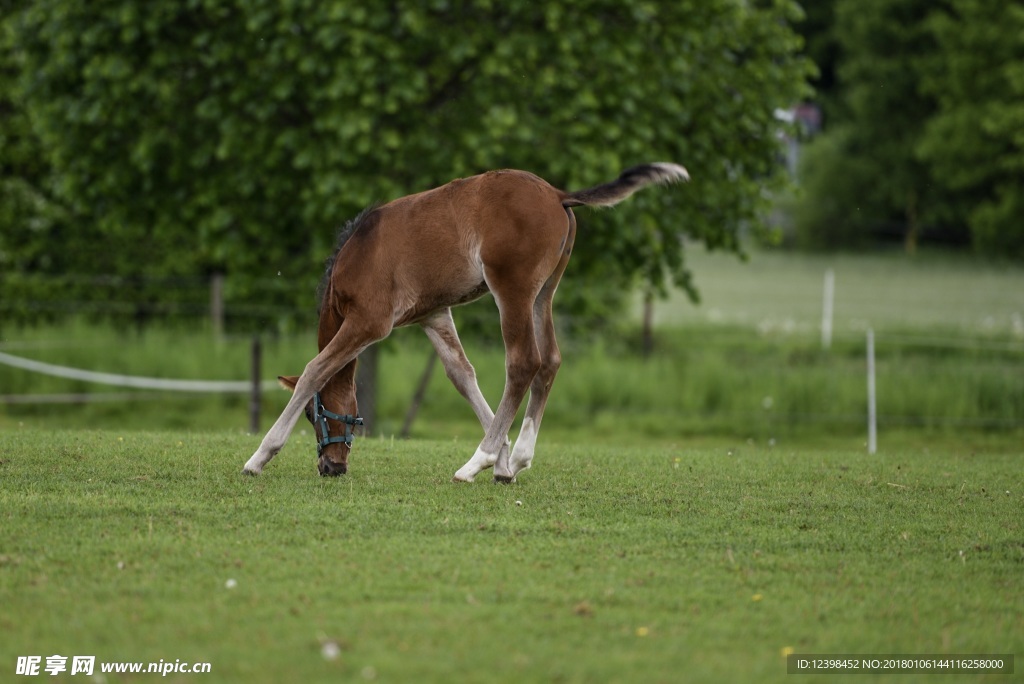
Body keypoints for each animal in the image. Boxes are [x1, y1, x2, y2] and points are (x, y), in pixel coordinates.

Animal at [241, 162, 688, 481]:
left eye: (312, 416)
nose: (331, 468)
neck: (357, 254)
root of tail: (558, 194)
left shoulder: (370, 321)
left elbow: (316, 369)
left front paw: (259, 456)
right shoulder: (434, 314)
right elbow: (462, 375)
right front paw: (504, 460)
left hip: (512, 289)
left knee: (524, 361)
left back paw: (475, 463)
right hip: (545, 292)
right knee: (550, 362)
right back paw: (518, 456)